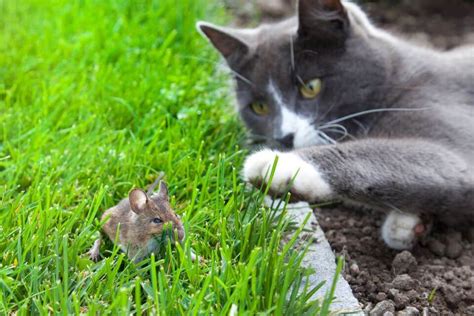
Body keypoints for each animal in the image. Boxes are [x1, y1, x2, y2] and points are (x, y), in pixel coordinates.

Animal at [197, 0, 474, 251]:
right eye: (259, 107)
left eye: (311, 87)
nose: (283, 137)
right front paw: (412, 223)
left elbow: (405, 154)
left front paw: (280, 165)